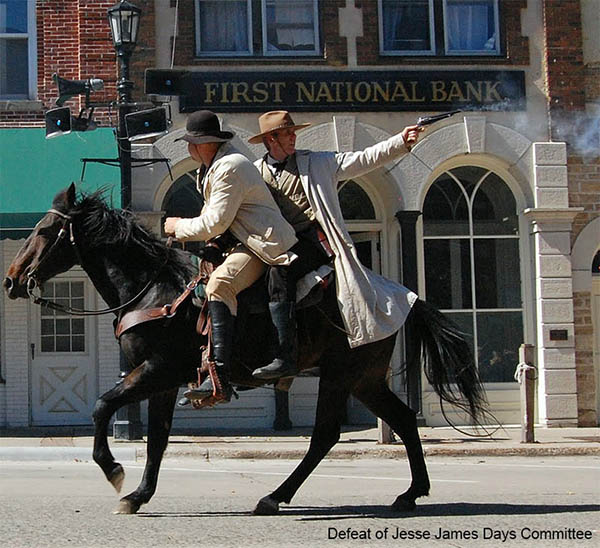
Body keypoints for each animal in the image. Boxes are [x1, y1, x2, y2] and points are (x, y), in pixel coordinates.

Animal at [2, 186, 486, 516]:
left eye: (44, 231)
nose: (10, 279)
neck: (152, 291)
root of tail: (403, 295)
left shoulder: (156, 370)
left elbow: (103, 406)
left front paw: (114, 472)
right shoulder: (161, 381)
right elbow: (157, 439)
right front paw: (139, 495)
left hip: (340, 374)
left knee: (326, 435)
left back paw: (276, 495)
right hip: (364, 379)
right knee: (401, 418)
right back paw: (409, 493)